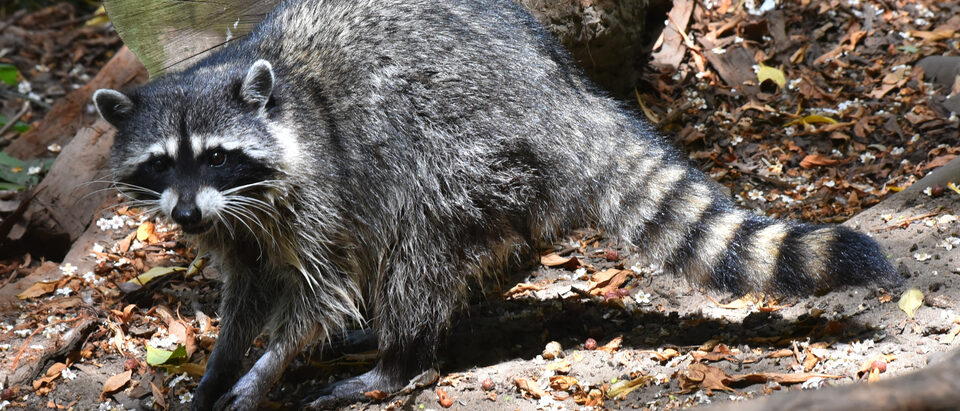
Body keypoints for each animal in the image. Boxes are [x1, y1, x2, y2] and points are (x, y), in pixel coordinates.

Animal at [92, 0, 902, 409]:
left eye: (218, 155)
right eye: (162, 164)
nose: (185, 217)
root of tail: (568, 97)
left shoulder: (316, 182)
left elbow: (318, 289)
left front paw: (268, 365)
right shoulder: (237, 219)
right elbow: (250, 284)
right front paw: (221, 364)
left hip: (472, 143)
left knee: (415, 237)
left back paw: (399, 360)